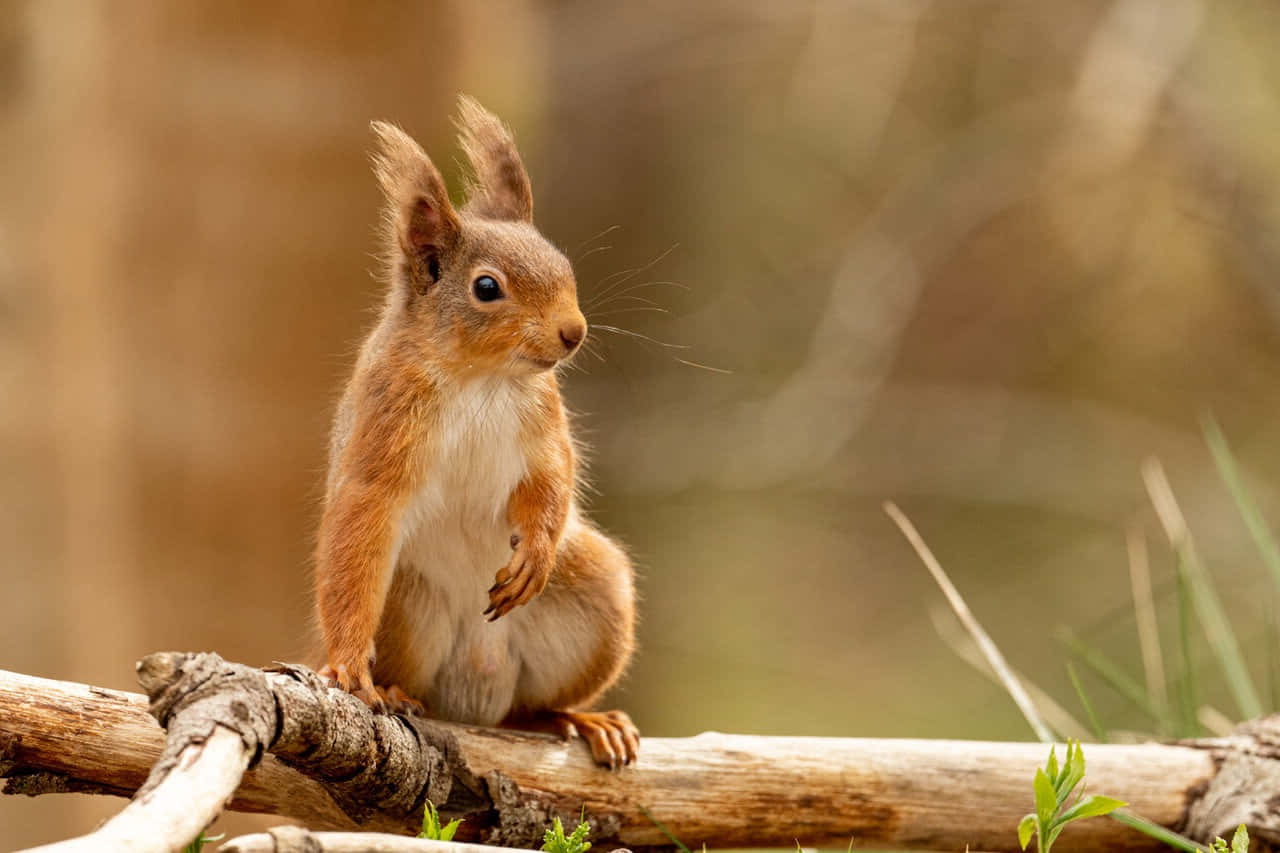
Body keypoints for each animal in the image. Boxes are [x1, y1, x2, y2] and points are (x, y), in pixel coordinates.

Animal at [313, 96, 640, 768]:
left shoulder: (543, 421)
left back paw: (578, 720)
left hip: (597, 595)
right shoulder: (384, 422)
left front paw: (534, 551)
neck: (480, 378)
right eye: (486, 288)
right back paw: (394, 689)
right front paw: (350, 668)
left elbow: (551, 479)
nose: (574, 332)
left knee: (528, 709)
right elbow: (363, 508)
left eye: (564, 265)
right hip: (407, 601)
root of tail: (478, 686)